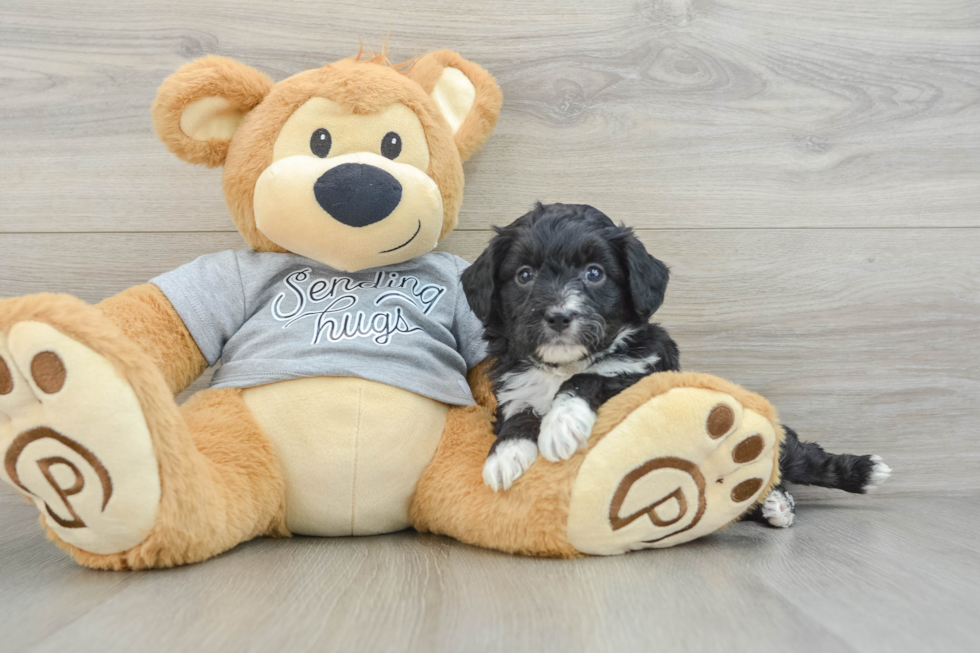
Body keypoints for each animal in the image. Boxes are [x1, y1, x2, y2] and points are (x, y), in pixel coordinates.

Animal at [464, 201, 892, 528]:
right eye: (524, 275)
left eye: (594, 273)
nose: (558, 316)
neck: (562, 365)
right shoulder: (515, 389)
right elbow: (519, 415)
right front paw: (505, 456)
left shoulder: (640, 373)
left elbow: (591, 377)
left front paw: (561, 424)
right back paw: (772, 503)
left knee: (800, 457)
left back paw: (860, 473)